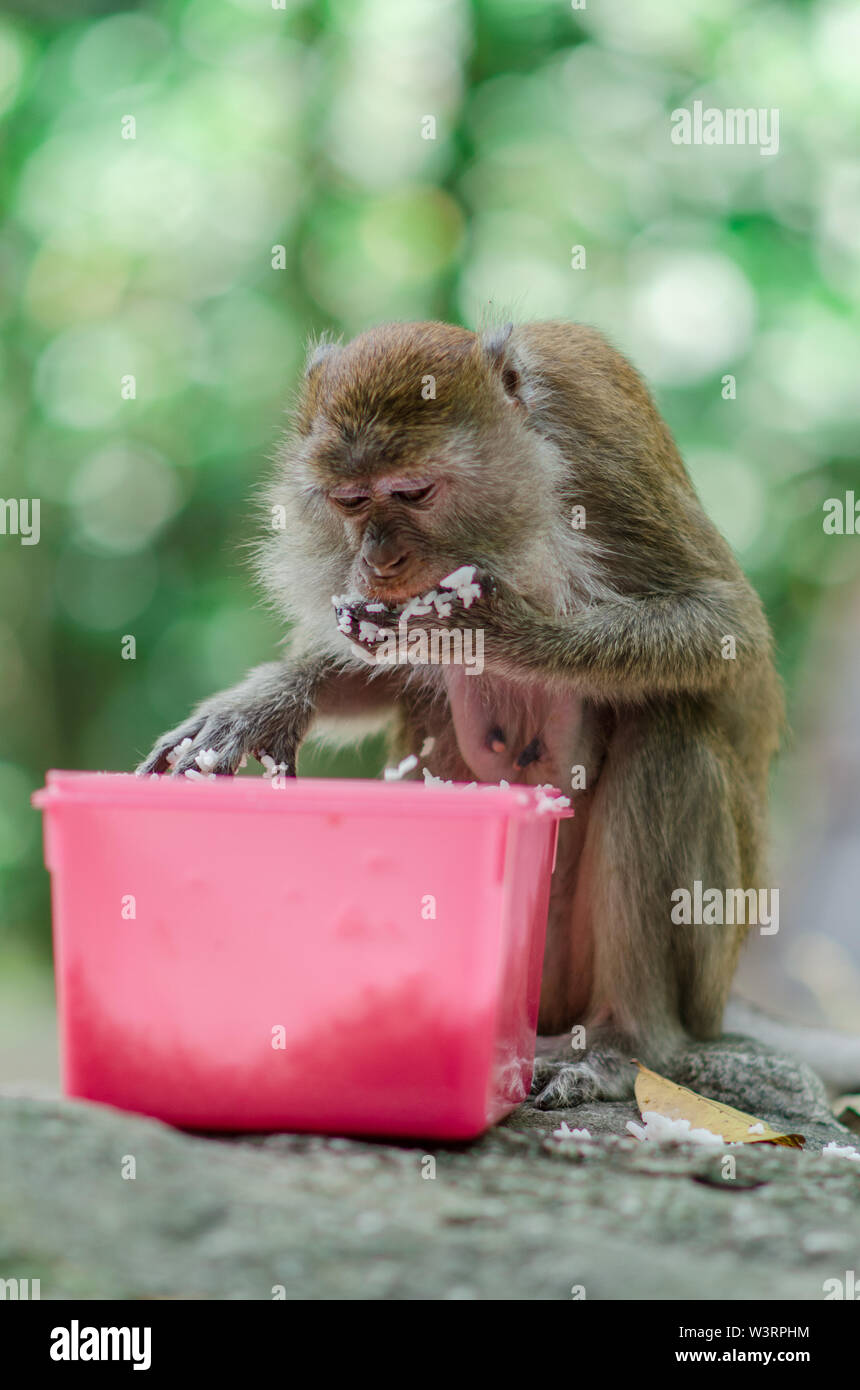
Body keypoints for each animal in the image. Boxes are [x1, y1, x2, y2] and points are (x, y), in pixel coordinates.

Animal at [138, 315, 789, 1106]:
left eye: (413, 492)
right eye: (350, 501)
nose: (380, 561)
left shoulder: (601, 448)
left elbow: (725, 626)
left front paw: (499, 633)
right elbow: (381, 668)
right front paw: (267, 703)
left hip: (702, 964)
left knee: (670, 730)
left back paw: (626, 1040)